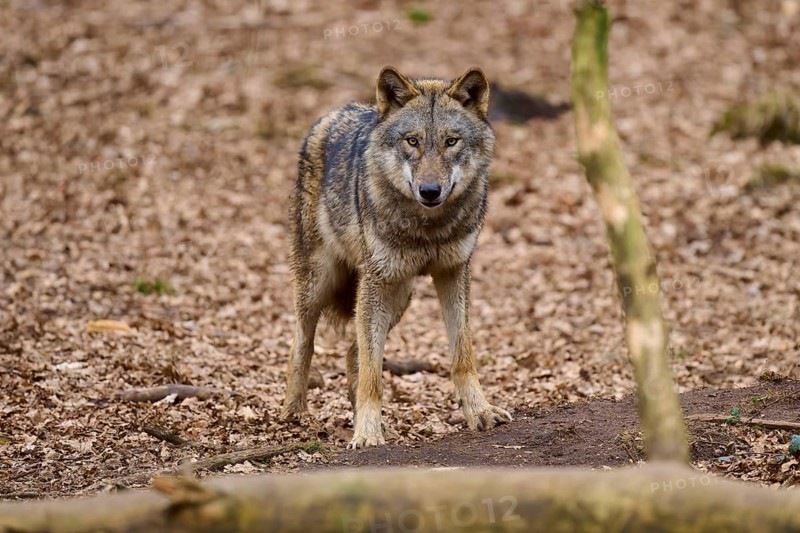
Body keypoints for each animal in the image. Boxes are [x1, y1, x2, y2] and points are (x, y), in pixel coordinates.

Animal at [281, 66, 512, 448]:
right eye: (412, 141)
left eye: (451, 141)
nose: (430, 191)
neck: (428, 227)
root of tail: (335, 111)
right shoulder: (376, 282)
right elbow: (372, 376)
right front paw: (367, 434)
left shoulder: (453, 274)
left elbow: (462, 355)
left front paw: (479, 411)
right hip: (322, 285)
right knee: (304, 343)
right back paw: (292, 413)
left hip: (399, 296)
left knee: (354, 352)